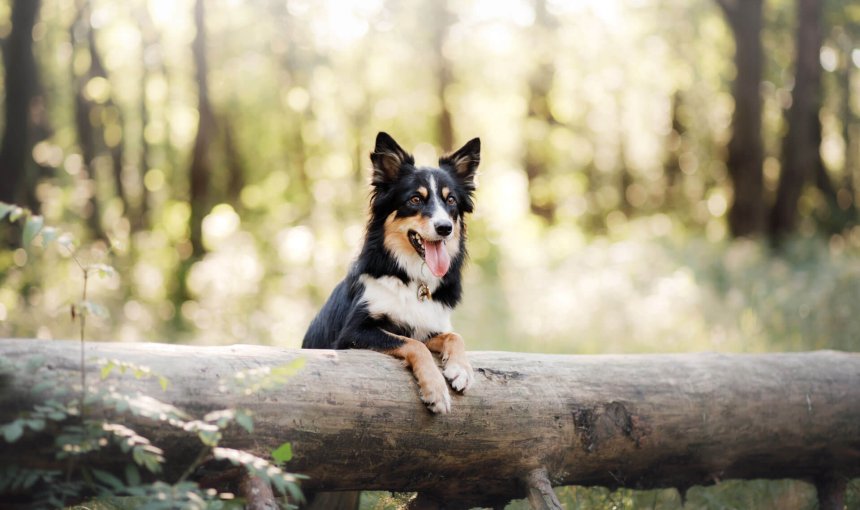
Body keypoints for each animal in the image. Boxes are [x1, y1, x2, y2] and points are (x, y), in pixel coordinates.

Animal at [302, 131, 480, 414]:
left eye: (450, 200)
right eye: (415, 199)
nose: (445, 228)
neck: (411, 279)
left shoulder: (426, 326)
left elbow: (453, 335)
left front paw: (461, 369)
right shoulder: (353, 334)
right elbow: (413, 345)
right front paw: (436, 390)